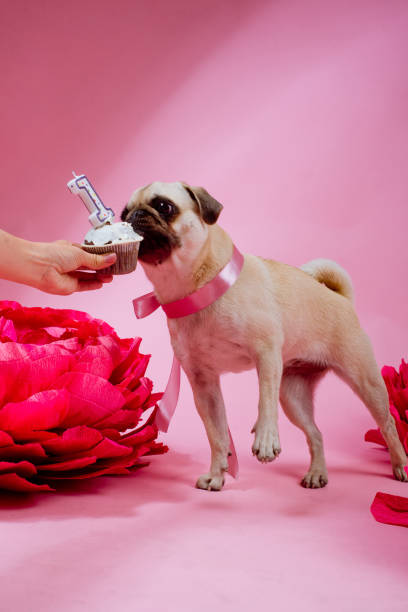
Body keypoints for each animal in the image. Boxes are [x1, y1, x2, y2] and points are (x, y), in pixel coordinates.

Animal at [120, 182, 404, 492]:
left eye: (164, 206)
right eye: (123, 212)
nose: (132, 216)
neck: (197, 288)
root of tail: (339, 298)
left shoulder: (266, 354)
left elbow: (264, 401)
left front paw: (266, 439)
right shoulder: (204, 384)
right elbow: (217, 435)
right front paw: (217, 474)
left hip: (364, 381)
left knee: (388, 424)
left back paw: (400, 465)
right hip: (293, 397)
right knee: (316, 434)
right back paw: (317, 473)